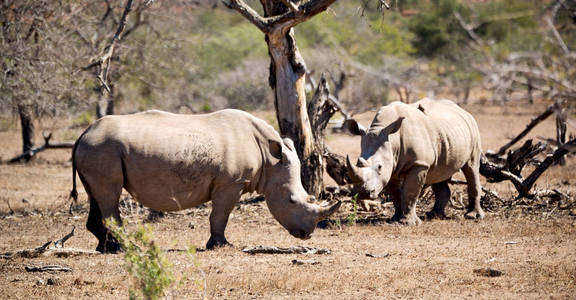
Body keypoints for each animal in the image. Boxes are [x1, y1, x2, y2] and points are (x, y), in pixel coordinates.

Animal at [72, 109, 342, 252]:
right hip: (102, 149)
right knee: (110, 194)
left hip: (96, 150)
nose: (306, 234)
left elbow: (219, 215)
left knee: (98, 194)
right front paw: (222, 245)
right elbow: (220, 215)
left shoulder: (232, 182)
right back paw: (123, 248)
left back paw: (105, 248)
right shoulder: (231, 182)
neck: (269, 158)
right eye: (292, 200)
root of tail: (82, 135)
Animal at [344, 98, 484, 225]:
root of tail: (463, 110)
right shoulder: (391, 168)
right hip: (446, 133)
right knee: (439, 173)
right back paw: (433, 215)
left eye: (379, 167)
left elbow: (410, 193)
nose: (362, 193)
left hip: (473, 129)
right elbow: (396, 194)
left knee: (471, 167)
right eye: (358, 163)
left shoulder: (418, 164)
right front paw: (394, 219)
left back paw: (473, 216)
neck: (392, 140)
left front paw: (408, 223)